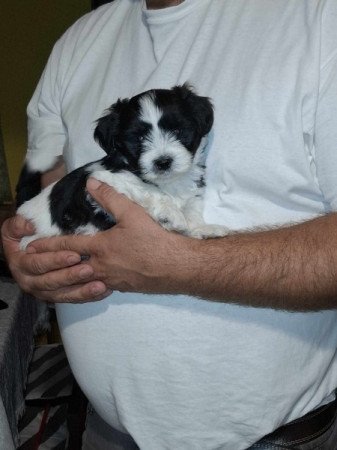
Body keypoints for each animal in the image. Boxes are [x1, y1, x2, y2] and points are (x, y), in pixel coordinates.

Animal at [15, 84, 226, 250]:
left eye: (177, 130)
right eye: (139, 138)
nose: (163, 161)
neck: (169, 183)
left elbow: (192, 208)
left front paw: (201, 228)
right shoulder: (102, 178)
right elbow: (145, 188)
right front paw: (170, 213)